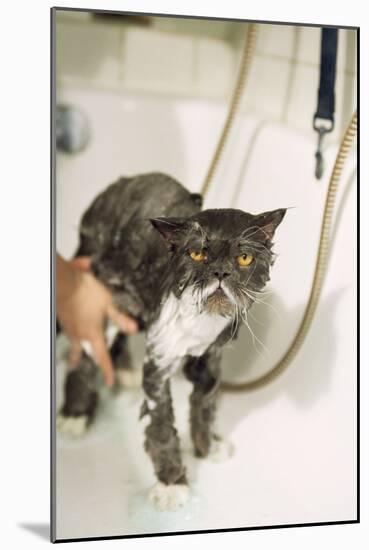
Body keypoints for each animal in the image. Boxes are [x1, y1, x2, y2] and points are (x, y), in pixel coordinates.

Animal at [56, 171, 284, 512]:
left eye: (244, 257)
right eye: (197, 253)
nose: (220, 271)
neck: (202, 319)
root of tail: (116, 187)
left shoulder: (210, 358)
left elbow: (205, 404)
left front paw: (206, 446)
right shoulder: (159, 363)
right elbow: (161, 429)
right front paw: (172, 484)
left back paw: (123, 372)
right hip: (100, 296)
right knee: (84, 352)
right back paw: (75, 415)